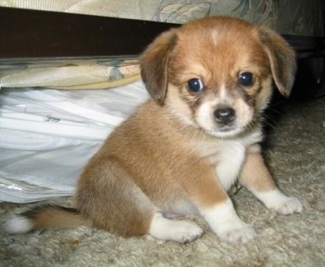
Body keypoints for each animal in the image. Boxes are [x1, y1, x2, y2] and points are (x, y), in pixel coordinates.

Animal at [3, 15, 302, 244]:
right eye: (194, 84)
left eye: (246, 78)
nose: (224, 114)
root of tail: (89, 213)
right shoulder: (196, 172)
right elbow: (221, 203)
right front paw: (234, 228)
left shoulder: (250, 154)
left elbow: (265, 183)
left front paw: (281, 201)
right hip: (115, 179)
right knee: (143, 223)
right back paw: (180, 230)